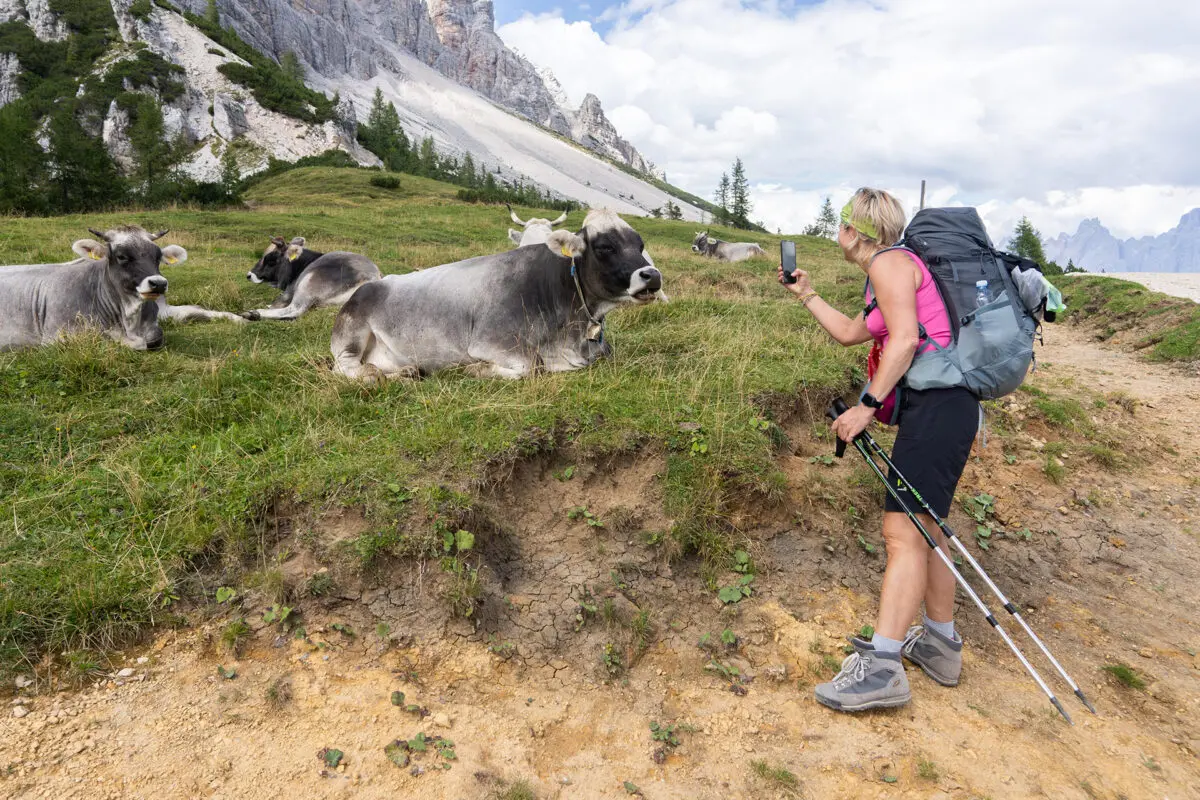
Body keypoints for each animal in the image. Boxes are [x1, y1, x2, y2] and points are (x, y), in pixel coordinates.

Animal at [247, 236, 386, 321]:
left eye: (271, 261)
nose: (249, 275)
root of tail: (375, 275)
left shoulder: (289, 291)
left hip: (307, 284)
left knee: (295, 310)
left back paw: (253, 313)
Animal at [331, 208, 667, 381]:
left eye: (639, 245)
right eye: (604, 246)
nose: (652, 276)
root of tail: (373, 284)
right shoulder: (490, 340)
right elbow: (532, 366)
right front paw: (474, 369)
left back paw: (406, 371)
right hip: (351, 334)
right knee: (347, 367)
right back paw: (376, 374)